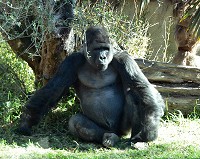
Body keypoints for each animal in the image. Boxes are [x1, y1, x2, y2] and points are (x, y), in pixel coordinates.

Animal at [16, 25, 164, 147]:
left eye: (105, 49)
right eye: (97, 49)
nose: (103, 57)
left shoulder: (124, 59)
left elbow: (139, 87)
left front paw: (147, 132)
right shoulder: (71, 61)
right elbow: (53, 89)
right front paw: (26, 121)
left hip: (123, 130)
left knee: (134, 97)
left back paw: (135, 139)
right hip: (105, 129)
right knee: (77, 122)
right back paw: (108, 138)